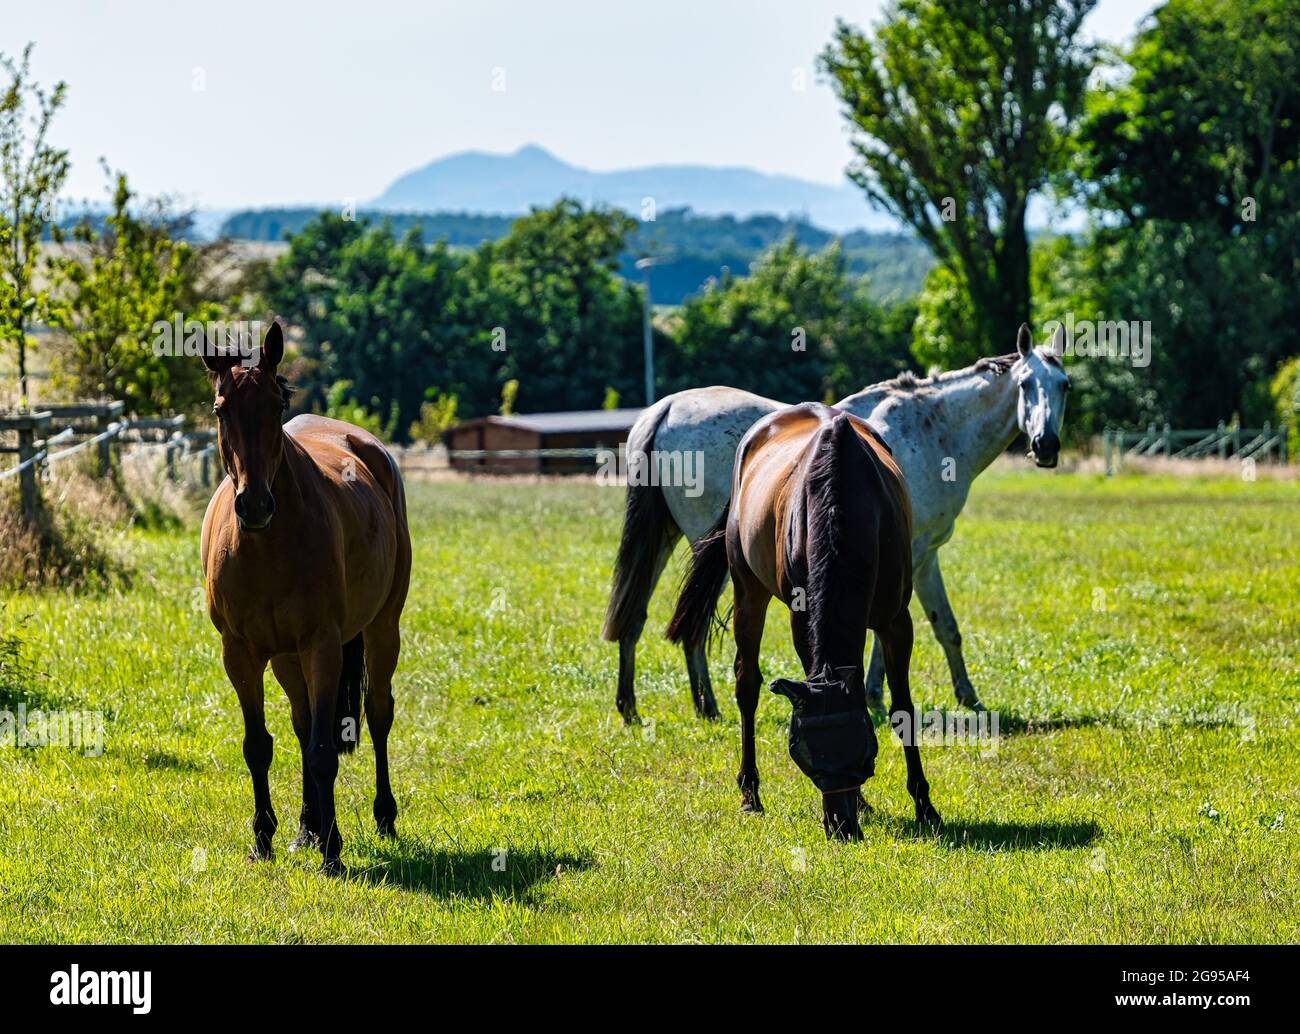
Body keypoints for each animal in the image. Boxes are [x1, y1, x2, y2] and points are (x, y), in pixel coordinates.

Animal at [199, 320, 412, 873]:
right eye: (220, 409)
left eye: (276, 406)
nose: (253, 505)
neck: (266, 546)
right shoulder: (241, 653)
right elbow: (259, 746)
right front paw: (264, 839)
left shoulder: (323, 645)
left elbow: (323, 751)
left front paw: (333, 851)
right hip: (286, 657)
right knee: (301, 725)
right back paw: (305, 829)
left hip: (381, 629)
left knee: (378, 714)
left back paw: (383, 818)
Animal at [604, 323, 1069, 722]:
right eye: (1026, 385)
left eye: (1064, 385)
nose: (1046, 445)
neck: (933, 426)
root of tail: (666, 409)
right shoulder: (914, 555)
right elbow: (904, 633)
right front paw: (880, 695)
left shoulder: (922, 556)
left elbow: (946, 627)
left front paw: (964, 697)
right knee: (694, 625)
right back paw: (707, 706)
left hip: (665, 539)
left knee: (636, 613)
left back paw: (636, 706)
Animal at [666, 403, 940, 840]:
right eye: (806, 756)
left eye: (865, 756)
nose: (842, 828)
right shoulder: (803, 616)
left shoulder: (897, 620)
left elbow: (903, 708)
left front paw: (924, 806)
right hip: (747, 587)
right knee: (747, 682)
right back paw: (750, 793)